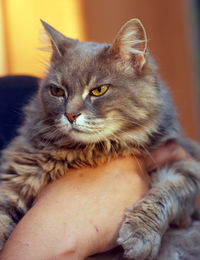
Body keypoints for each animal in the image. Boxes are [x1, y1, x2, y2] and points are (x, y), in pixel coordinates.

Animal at [0, 17, 200, 258]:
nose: (70, 115)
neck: (94, 150)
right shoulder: (16, 173)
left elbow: (164, 196)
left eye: (98, 91)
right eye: (57, 92)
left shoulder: (186, 167)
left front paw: (140, 235)